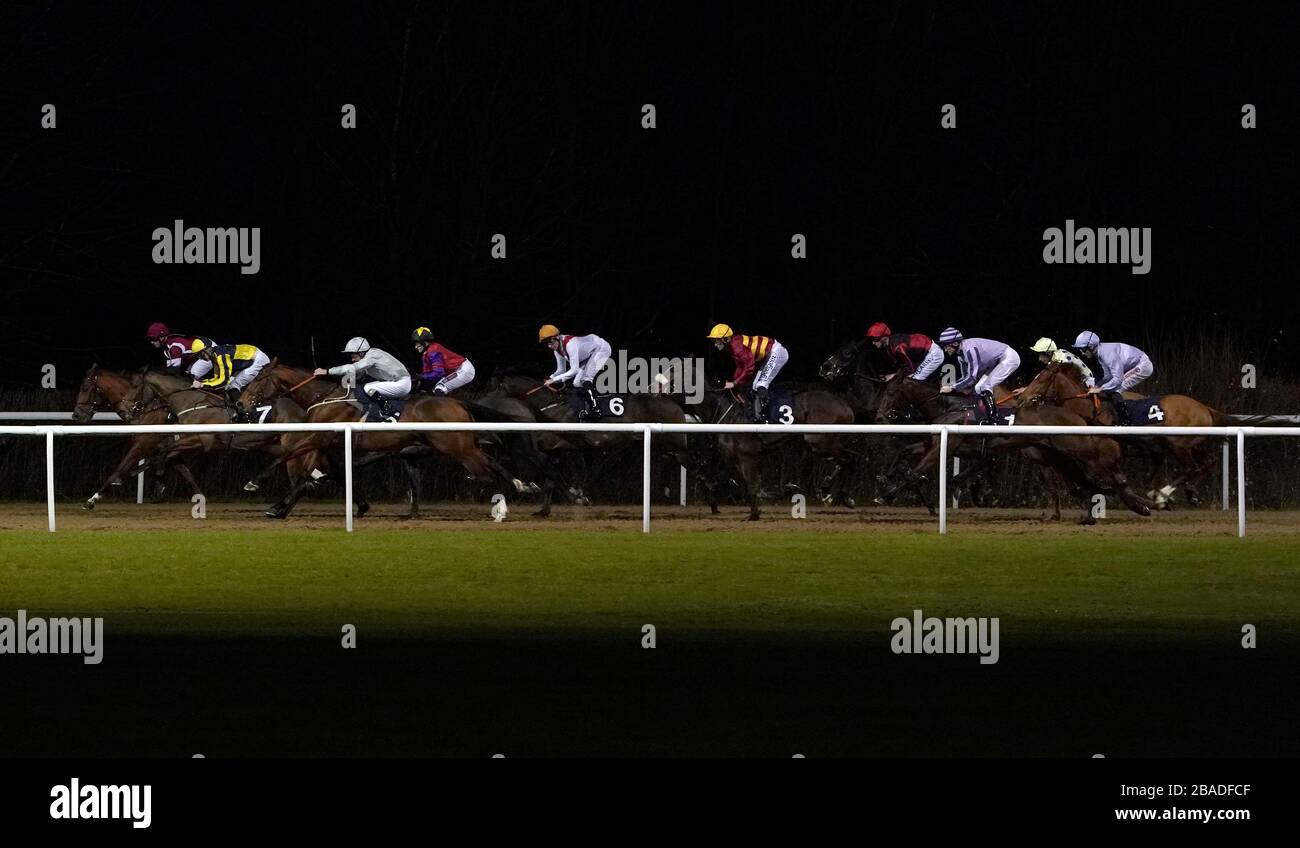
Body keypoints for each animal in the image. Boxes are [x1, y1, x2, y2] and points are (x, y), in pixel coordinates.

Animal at [878, 371, 1154, 522]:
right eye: (883, 391)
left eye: (891, 393)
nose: (880, 417)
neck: (951, 407)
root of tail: (1075, 415)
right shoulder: (937, 442)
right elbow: (904, 453)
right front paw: (887, 478)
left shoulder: (945, 447)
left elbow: (916, 473)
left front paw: (888, 493)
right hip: (1054, 454)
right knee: (1082, 479)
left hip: (1076, 447)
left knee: (1107, 470)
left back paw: (1141, 503)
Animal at [1013, 361, 1227, 507]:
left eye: (1042, 379)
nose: (1022, 398)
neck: (1090, 409)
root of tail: (1205, 408)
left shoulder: (1111, 452)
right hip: (1193, 444)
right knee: (1208, 462)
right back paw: (1189, 493)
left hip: (1177, 444)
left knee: (1192, 467)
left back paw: (1163, 494)